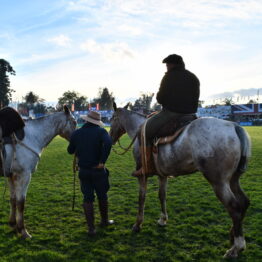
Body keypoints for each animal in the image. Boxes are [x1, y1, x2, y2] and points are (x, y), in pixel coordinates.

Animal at [1, 106, 75, 239]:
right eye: (74, 122)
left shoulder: (11, 176)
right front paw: (23, 230)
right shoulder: (24, 175)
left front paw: (13, 224)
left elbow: (13, 199)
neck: (31, 136)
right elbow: (21, 202)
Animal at [109, 103, 252, 258]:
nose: (110, 137)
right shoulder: (162, 175)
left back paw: (236, 248)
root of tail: (234, 126)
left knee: (234, 207)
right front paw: (163, 219)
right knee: (243, 202)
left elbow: (141, 198)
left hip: (218, 182)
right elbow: (162, 195)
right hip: (233, 179)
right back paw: (233, 235)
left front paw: (137, 224)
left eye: (112, 119)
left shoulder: (142, 176)